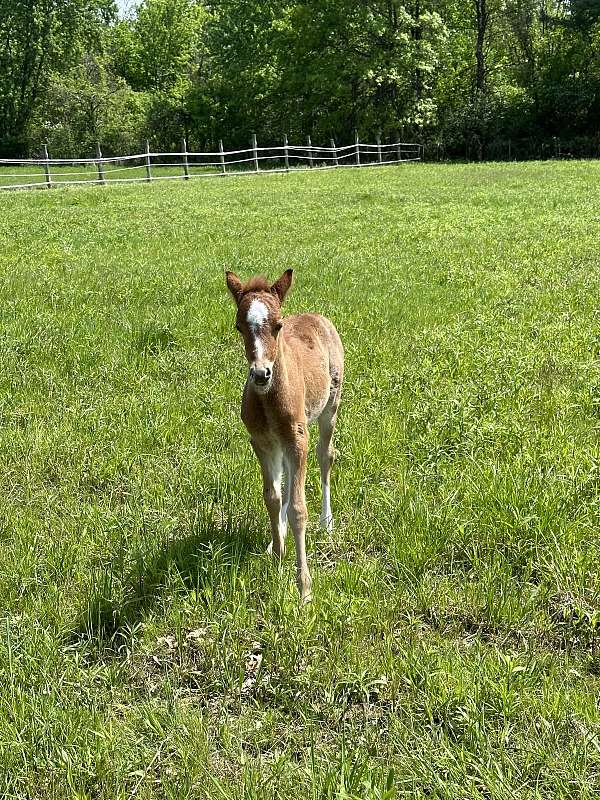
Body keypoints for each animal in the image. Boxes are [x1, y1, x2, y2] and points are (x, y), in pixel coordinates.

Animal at [225, 269, 344, 602]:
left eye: (278, 326)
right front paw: (277, 559)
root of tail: (316, 316)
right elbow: (273, 498)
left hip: (330, 408)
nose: (260, 374)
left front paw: (304, 588)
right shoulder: (262, 443)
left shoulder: (297, 439)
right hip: (283, 444)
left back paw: (326, 522)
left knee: (325, 457)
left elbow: (298, 510)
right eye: (239, 327)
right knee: (288, 483)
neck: (269, 400)